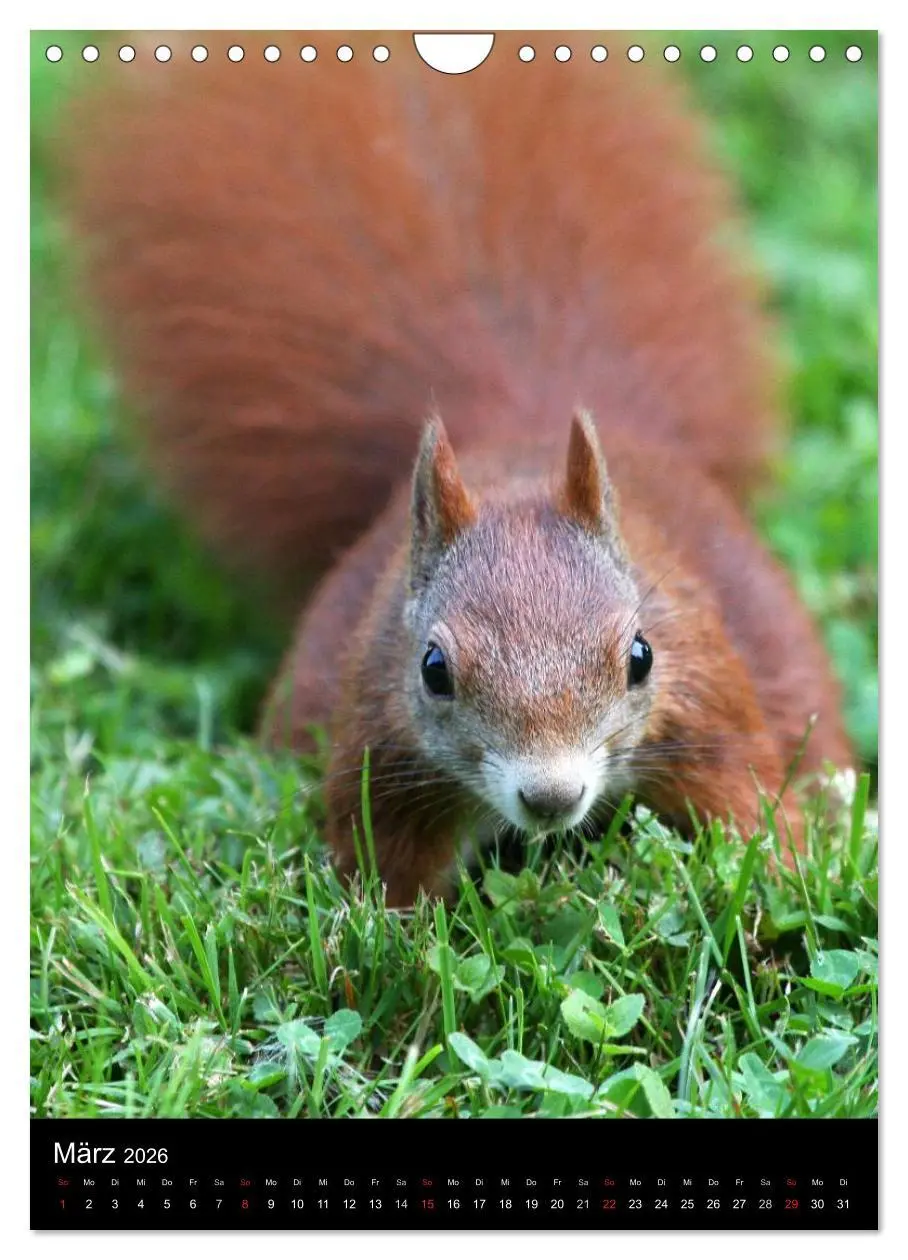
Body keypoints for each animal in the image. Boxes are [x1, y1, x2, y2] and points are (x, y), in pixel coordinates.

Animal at [56, 32, 852, 905]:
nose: (551, 797)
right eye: (433, 670)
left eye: (641, 656)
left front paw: (781, 878)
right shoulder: (384, 754)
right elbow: (384, 881)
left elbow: (752, 811)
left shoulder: (708, 709)